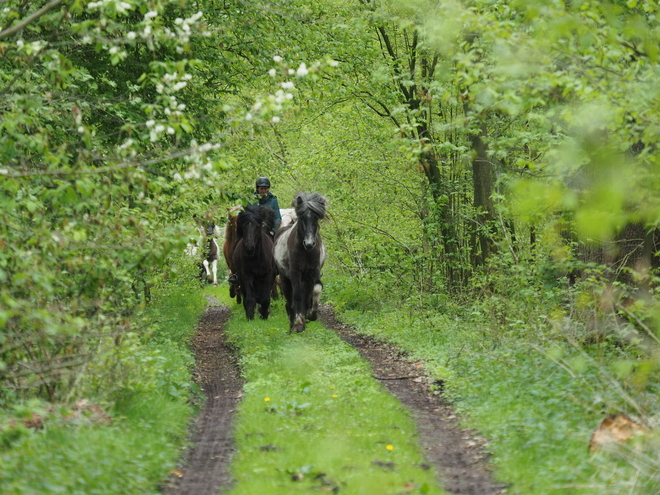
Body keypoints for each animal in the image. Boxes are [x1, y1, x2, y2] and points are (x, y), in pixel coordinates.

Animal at [274, 193, 328, 334]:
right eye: (302, 217)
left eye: (316, 217)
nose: (309, 243)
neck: (305, 251)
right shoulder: (295, 273)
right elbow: (297, 295)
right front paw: (298, 324)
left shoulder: (313, 271)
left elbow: (315, 289)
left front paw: (310, 316)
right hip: (285, 278)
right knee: (289, 301)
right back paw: (292, 324)